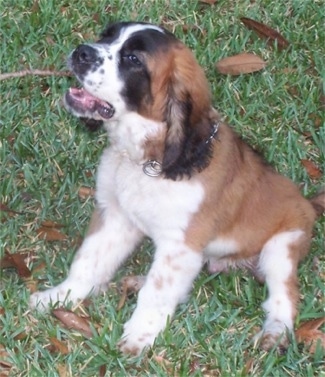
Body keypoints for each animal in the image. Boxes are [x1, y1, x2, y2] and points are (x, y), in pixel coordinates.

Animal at [29, 21, 322, 356]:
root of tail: (308, 203)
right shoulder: (115, 217)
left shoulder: (180, 246)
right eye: (107, 35)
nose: (82, 52)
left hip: (282, 247)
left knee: (284, 295)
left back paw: (275, 330)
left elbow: (157, 290)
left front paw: (139, 335)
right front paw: (60, 295)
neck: (146, 160)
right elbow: (88, 261)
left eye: (133, 59)